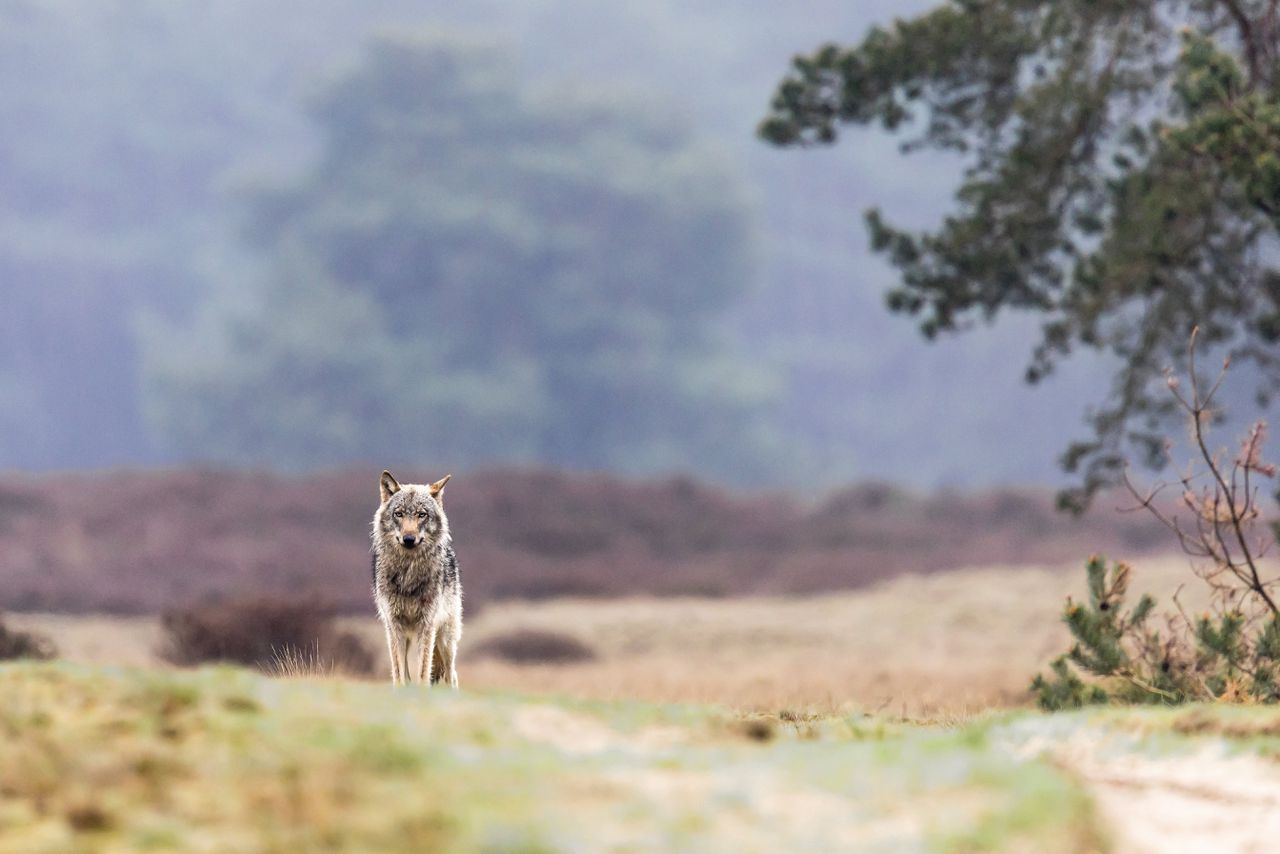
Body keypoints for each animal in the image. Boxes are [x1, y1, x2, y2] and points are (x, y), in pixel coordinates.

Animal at [368, 471, 463, 686]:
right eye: (399, 514)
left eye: (422, 514)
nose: (409, 539)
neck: (408, 574)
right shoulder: (394, 626)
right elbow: (399, 674)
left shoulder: (426, 625)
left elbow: (423, 672)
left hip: (445, 640)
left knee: (451, 675)